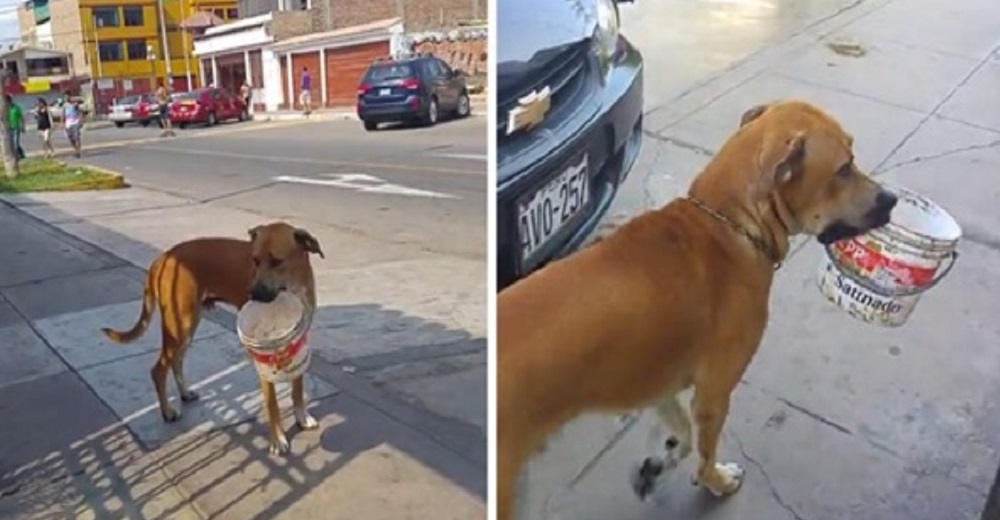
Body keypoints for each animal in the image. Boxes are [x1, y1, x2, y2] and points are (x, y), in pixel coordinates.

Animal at [100, 221, 324, 452]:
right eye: (254, 260)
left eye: (277, 261)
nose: (252, 294)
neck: (292, 290)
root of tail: (163, 258)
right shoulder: (263, 355)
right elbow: (272, 403)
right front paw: (277, 439)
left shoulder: (298, 342)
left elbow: (298, 387)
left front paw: (301, 417)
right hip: (179, 326)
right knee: (158, 370)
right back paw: (167, 411)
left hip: (188, 326)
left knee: (176, 361)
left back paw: (185, 393)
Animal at [498, 99, 900, 516]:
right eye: (843, 168)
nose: (892, 199)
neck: (731, 222)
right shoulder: (713, 394)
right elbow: (705, 451)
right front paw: (715, 481)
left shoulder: (660, 385)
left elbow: (684, 435)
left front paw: (659, 464)